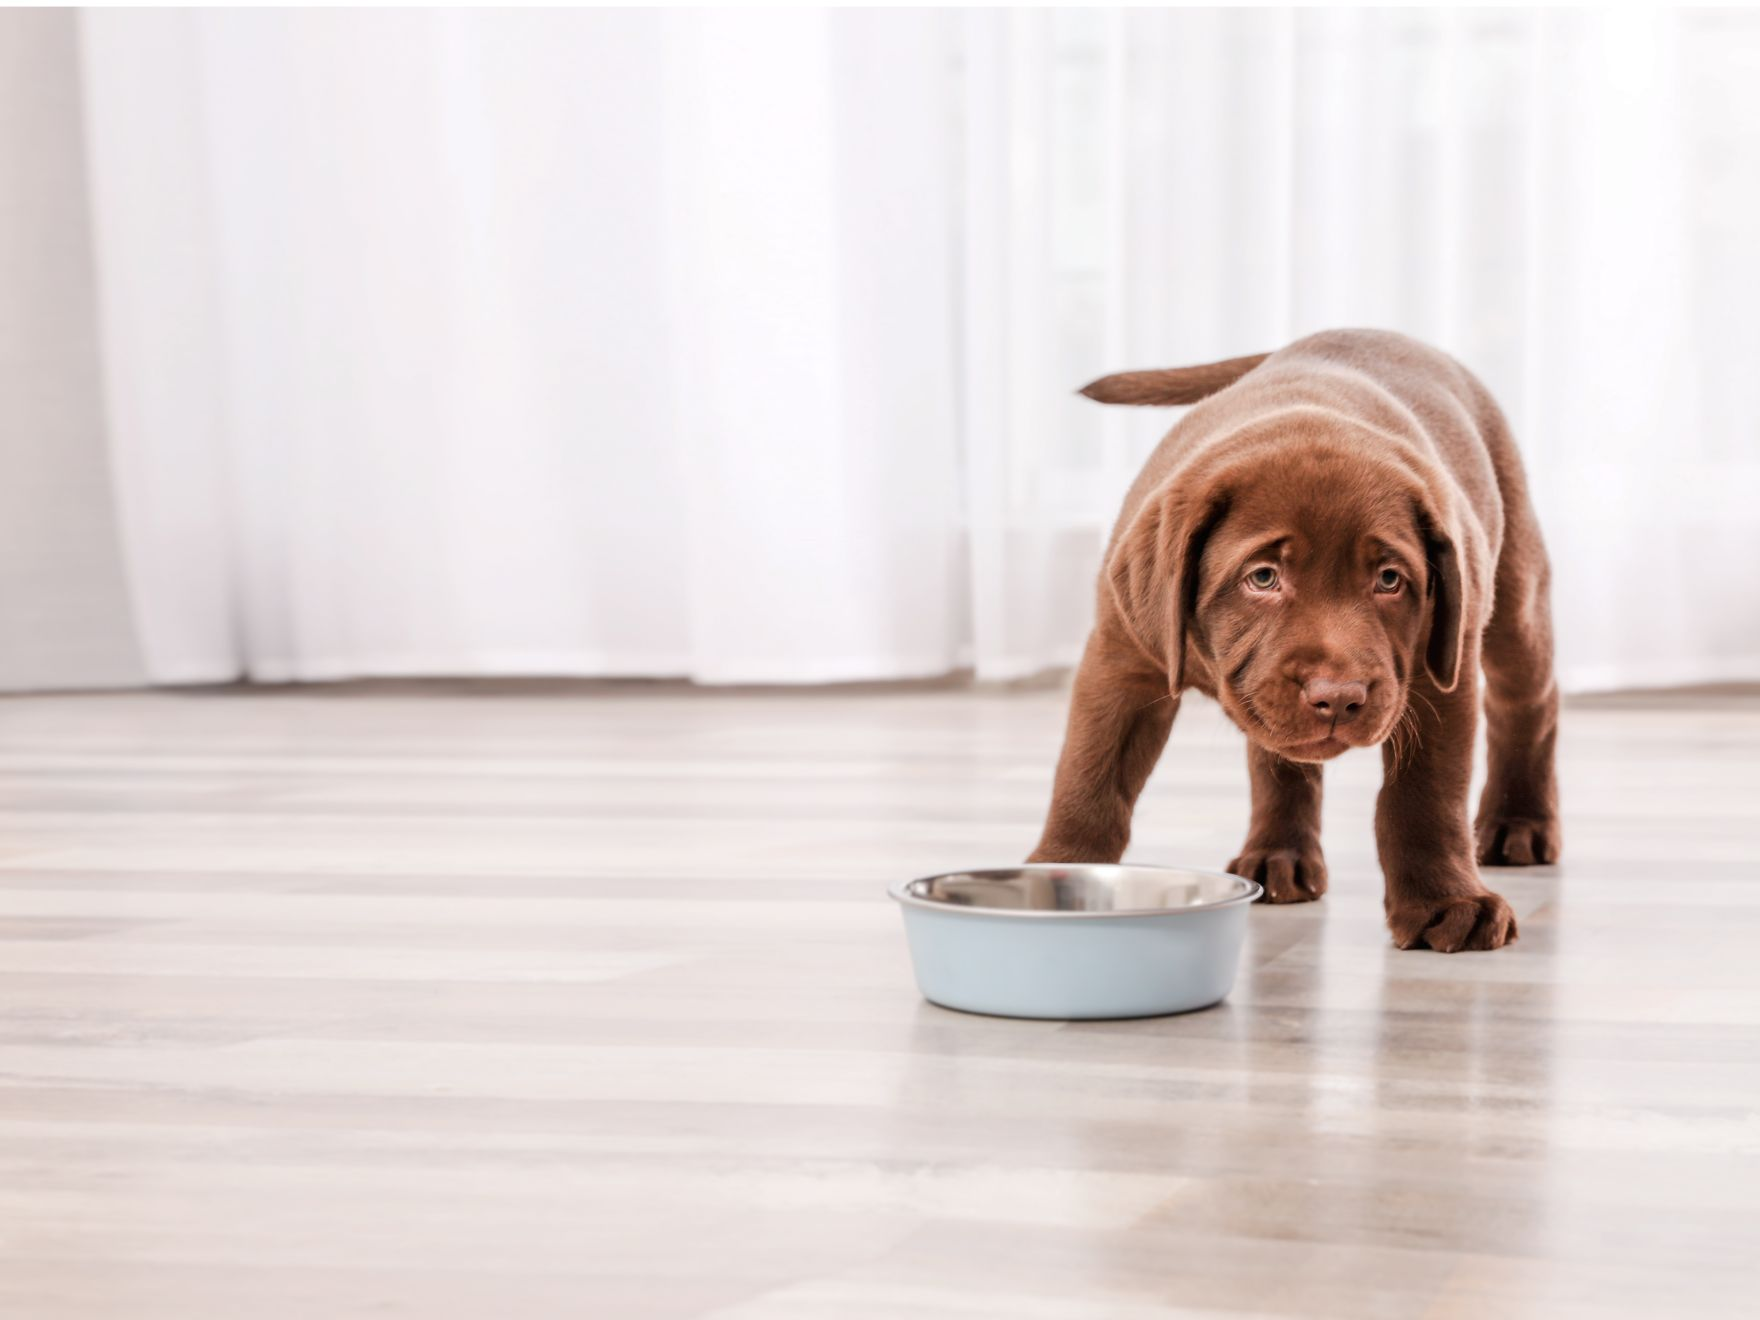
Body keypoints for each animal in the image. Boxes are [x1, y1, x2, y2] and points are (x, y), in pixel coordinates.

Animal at [1027, 329, 1562, 950]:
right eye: (1263, 577)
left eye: (1389, 580)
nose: (1339, 696)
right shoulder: (1123, 659)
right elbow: (1089, 776)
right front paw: (1060, 875)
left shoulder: (1439, 673)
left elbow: (1426, 795)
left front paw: (1446, 903)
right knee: (1276, 759)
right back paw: (1277, 855)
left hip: (1512, 592)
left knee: (1529, 700)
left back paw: (1520, 823)